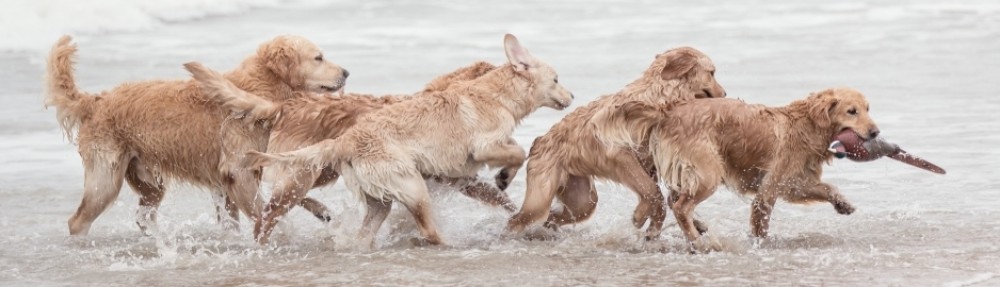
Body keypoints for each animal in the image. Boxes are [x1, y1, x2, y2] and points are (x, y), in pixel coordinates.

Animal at [46, 34, 348, 236]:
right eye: (318, 57)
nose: (346, 71)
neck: (257, 88)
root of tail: (95, 101)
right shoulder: (236, 172)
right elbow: (267, 209)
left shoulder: (232, 179)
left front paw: (321, 211)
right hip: (105, 178)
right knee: (79, 220)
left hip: (148, 180)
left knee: (143, 216)